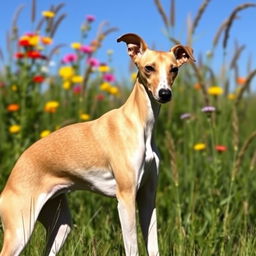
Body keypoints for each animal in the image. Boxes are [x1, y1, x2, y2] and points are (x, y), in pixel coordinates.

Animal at [0, 34, 194, 256]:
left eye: (174, 69)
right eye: (149, 68)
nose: (164, 94)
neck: (139, 122)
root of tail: (12, 175)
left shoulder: (147, 197)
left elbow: (153, 246)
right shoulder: (125, 198)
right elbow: (132, 247)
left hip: (60, 225)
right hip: (20, 230)